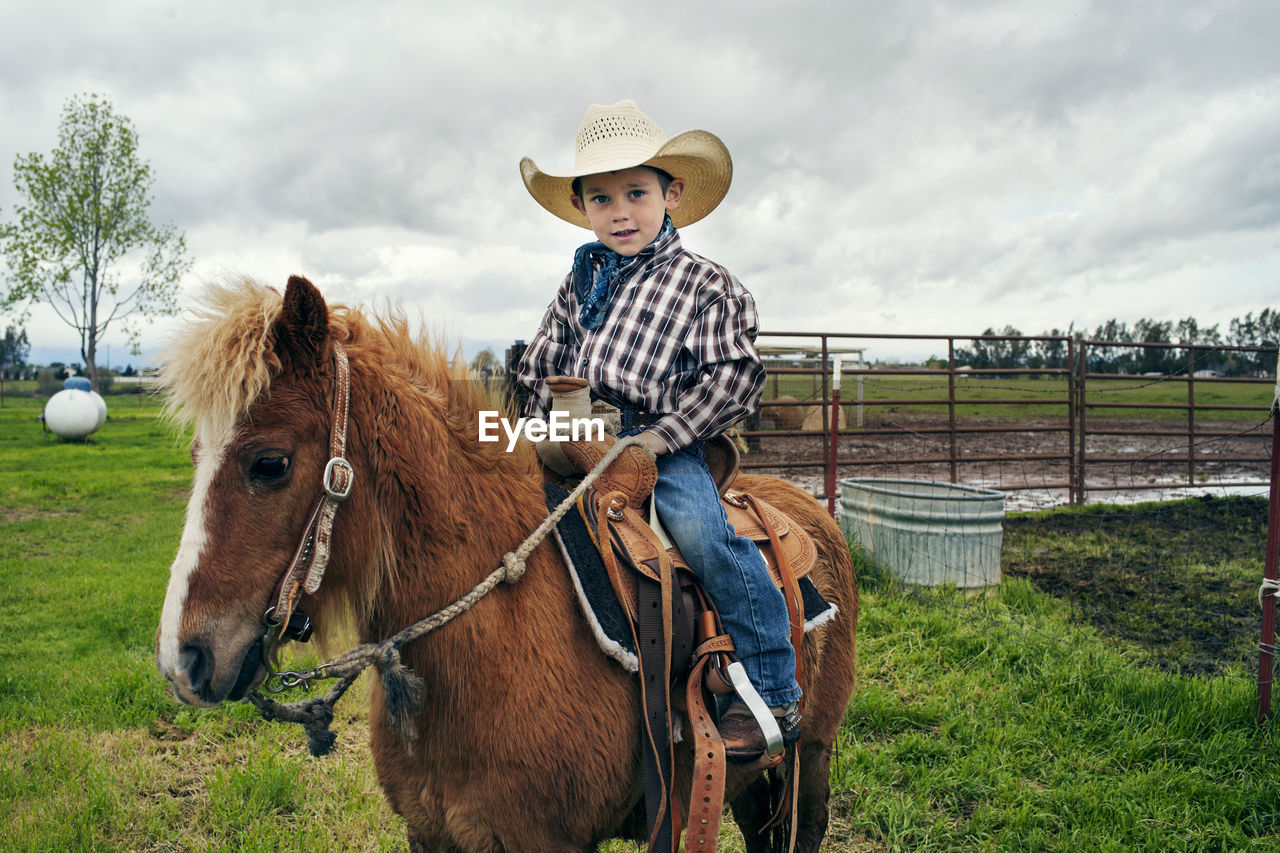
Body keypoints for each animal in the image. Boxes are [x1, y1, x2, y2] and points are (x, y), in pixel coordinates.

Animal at [157, 275, 860, 845]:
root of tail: (809, 504)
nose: (182, 659)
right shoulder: (430, 835)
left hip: (813, 756)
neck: (489, 637)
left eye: (270, 463)